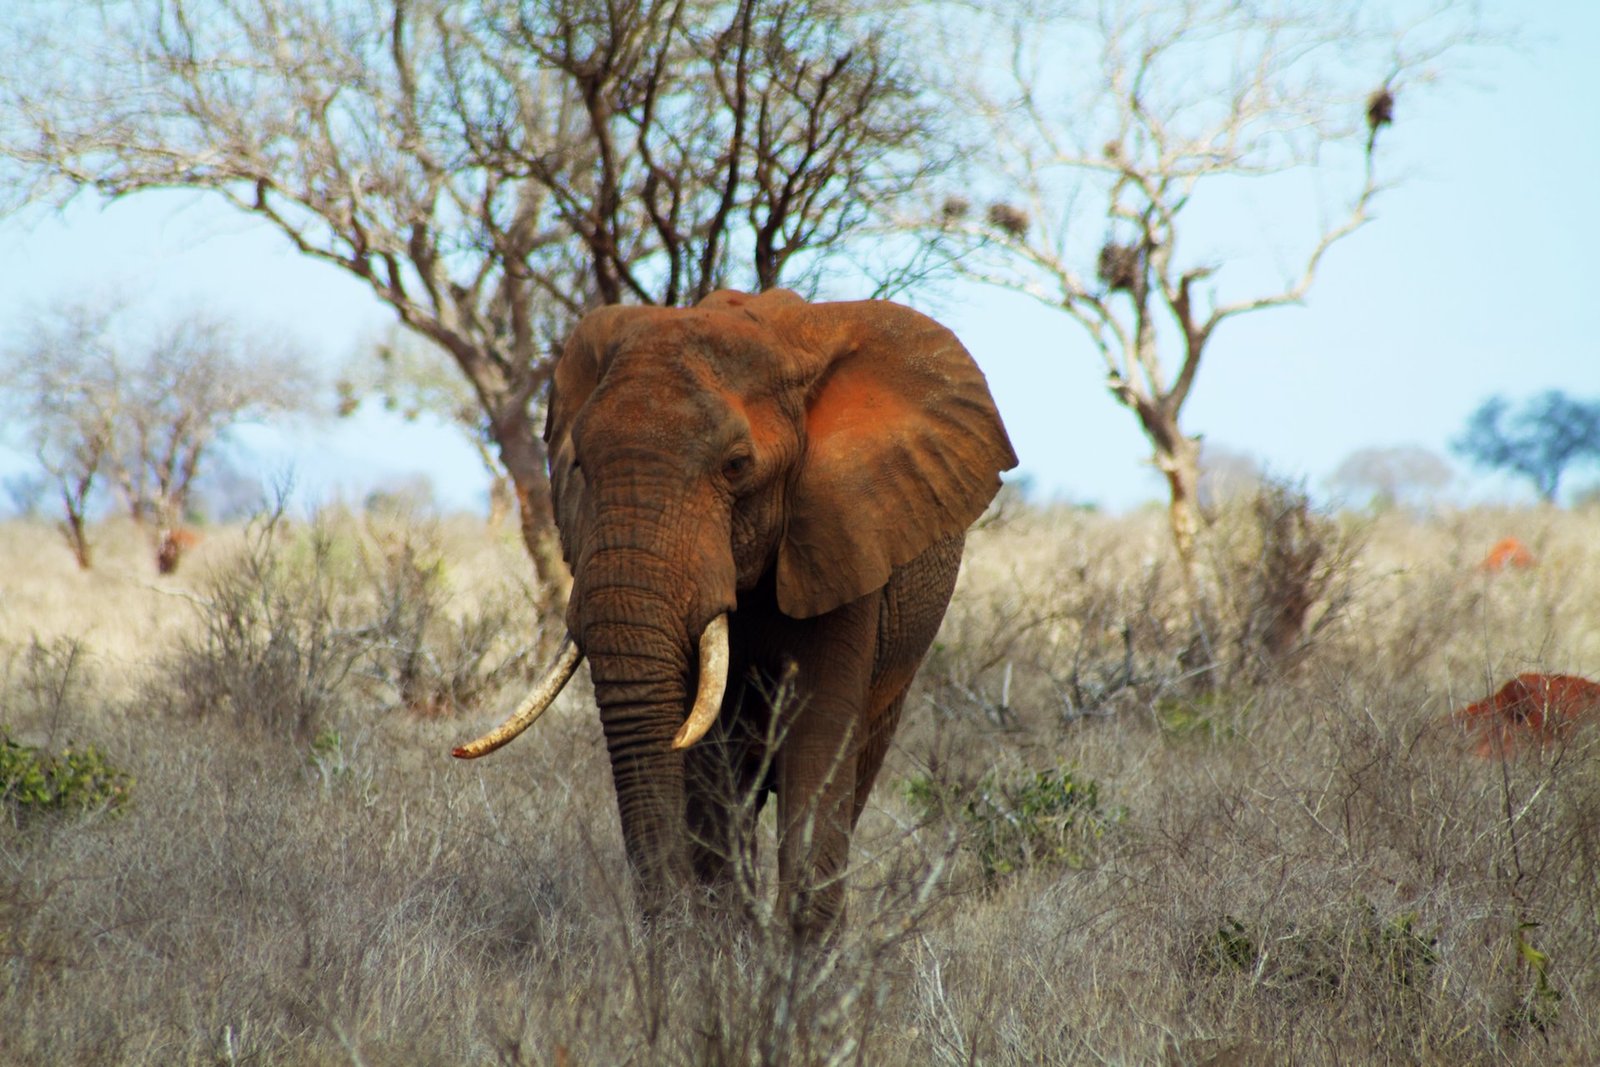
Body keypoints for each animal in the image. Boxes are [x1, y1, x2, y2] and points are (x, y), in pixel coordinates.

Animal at [454, 289, 1016, 941]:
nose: (666, 932)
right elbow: (709, 763)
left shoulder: (845, 536)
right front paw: (727, 949)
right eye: (580, 469)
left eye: (736, 466)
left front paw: (800, 964)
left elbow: (819, 739)